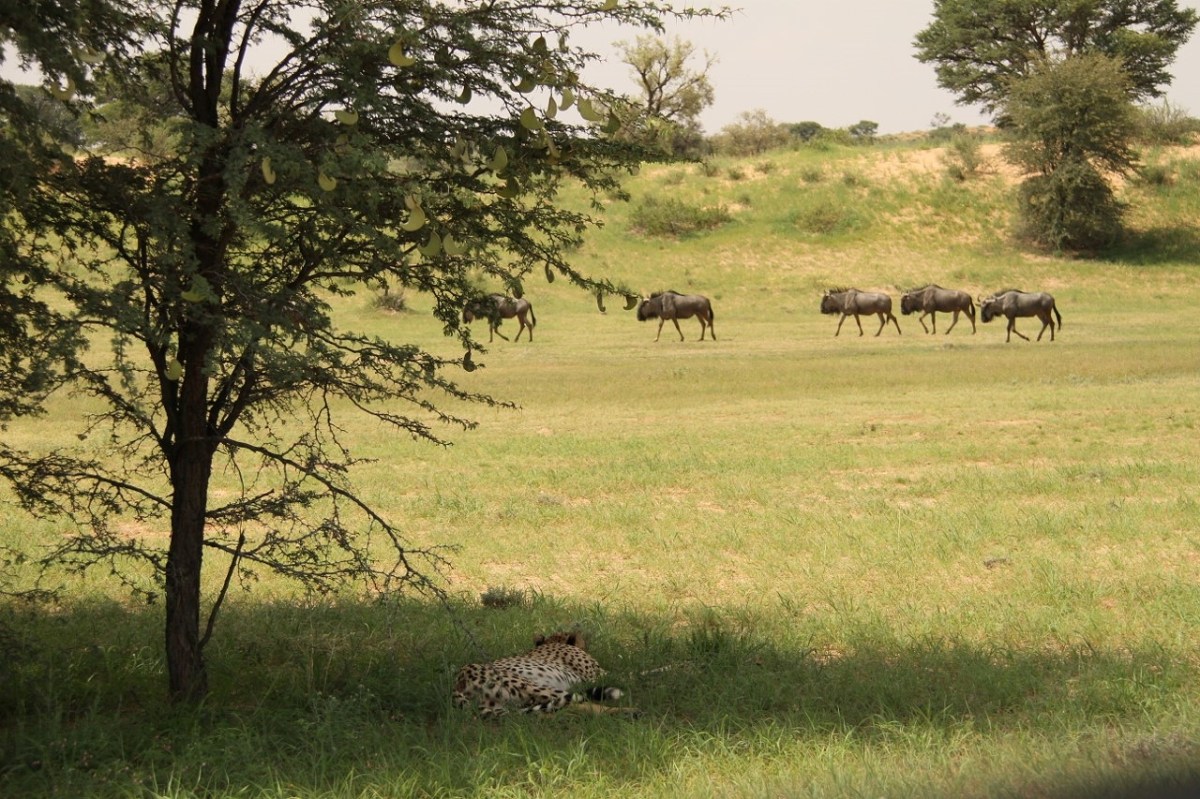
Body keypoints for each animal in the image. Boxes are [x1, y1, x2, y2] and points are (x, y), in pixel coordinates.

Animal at [452, 631, 637, 717]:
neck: (554, 642)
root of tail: (458, 685)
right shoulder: (597, 676)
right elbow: (628, 674)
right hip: (532, 686)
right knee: (575, 702)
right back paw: (629, 711)